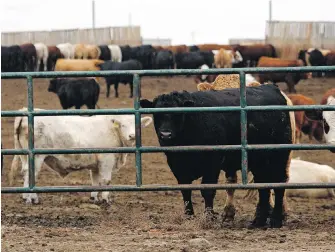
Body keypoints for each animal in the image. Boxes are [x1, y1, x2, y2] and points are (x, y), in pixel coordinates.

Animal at [9, 107, 154, 204]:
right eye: (123, 125)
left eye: (137, 124)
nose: (132, 135)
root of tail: (26, 112)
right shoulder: (107, 159)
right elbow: (106, 180)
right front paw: (106, 199)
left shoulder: (95, 164)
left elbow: (95, 181)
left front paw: (95, 198)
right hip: (36, 156)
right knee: (31, 174)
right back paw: (33, 198)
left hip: (24, 155)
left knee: (25, 172)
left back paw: (25, 196)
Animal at [140, 84, 296, 228]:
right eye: (156, 114)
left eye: (178, 114)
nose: (165, 134)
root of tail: (272, 88)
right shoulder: (177, 166)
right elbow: (185, 191)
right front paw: (189, 215)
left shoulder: (212, 164)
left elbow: (208, 191)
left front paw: (209, 217)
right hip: (260, 161)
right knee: (263, 185)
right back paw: (258, 221)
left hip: (279, 157)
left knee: (279, 183)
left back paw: (276, 220)